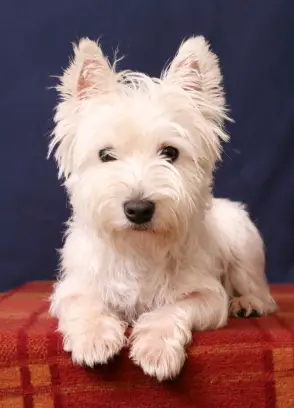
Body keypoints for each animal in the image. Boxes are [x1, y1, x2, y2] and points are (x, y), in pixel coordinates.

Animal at [49, 36, 276, 380]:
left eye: (170, 153)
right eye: (105, 155)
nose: (138, 208)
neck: (139, 247)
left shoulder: (207, 295)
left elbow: (172, 308)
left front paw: (155, 349)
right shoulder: (74, 286)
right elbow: (85, 304)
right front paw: (95, 338)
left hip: (243, 242)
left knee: (261, 291)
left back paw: (248, 303)